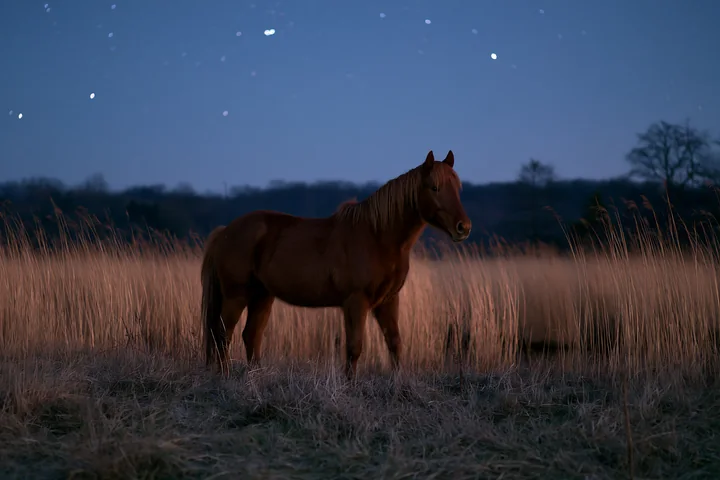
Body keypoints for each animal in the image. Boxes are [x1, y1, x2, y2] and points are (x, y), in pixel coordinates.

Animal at [200, 150, 472, 379]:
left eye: (458, 188)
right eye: (434, 187)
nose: (463, 227)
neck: (377, 237)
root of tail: (226, 231)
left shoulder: (388, 300)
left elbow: (394, 342)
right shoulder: (355, 302)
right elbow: (354, 347)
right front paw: (350, 385)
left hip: (262, 296)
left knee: (251, 335)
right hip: (236, 295)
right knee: (223, 334)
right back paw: (225, 377)